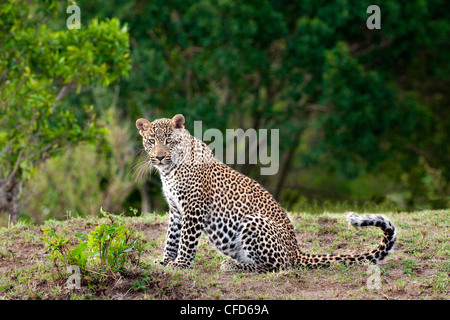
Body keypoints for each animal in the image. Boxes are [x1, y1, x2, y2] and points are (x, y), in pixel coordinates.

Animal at [135, 114, 396, 272]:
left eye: (169, 140)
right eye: (151, 141)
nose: (159, 156)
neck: (170, 170)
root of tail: (295, 251)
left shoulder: (193, 207)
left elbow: (186, 240)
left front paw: (181, 264)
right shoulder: (176, 209)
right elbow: (171, 237)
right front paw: (165, 261)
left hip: (253, 222)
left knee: (274, 267)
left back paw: (233, 266)